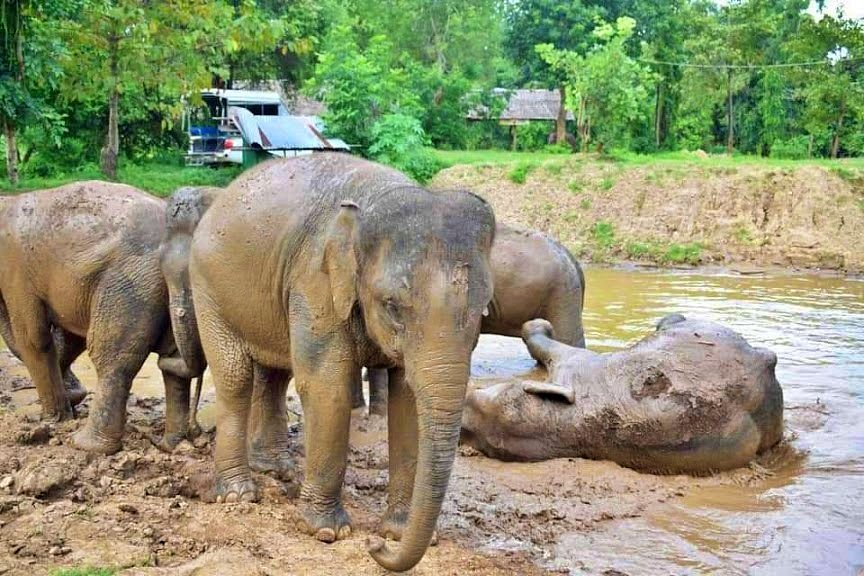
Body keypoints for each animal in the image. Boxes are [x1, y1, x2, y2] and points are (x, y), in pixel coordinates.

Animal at [0, 182, 199, 453]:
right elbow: (69, 339)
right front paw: (70, 402)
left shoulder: (15, 270)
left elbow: (33, 338)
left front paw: (55, 420)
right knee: (172, 361)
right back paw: (172, 445)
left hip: (131, 281)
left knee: (111, 357)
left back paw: (86, 445)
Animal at [188, 154, 496, 572]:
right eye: (392, 306)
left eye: (483, 308)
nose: (375, 548)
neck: (374, 199)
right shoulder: (313, 281)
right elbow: (326, 385)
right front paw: (326, 532)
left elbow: (408, 402)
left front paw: (397, 532)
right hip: (208, 287)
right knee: (236, 377)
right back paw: (239, 494)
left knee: (274, 376)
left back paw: (276, 470)